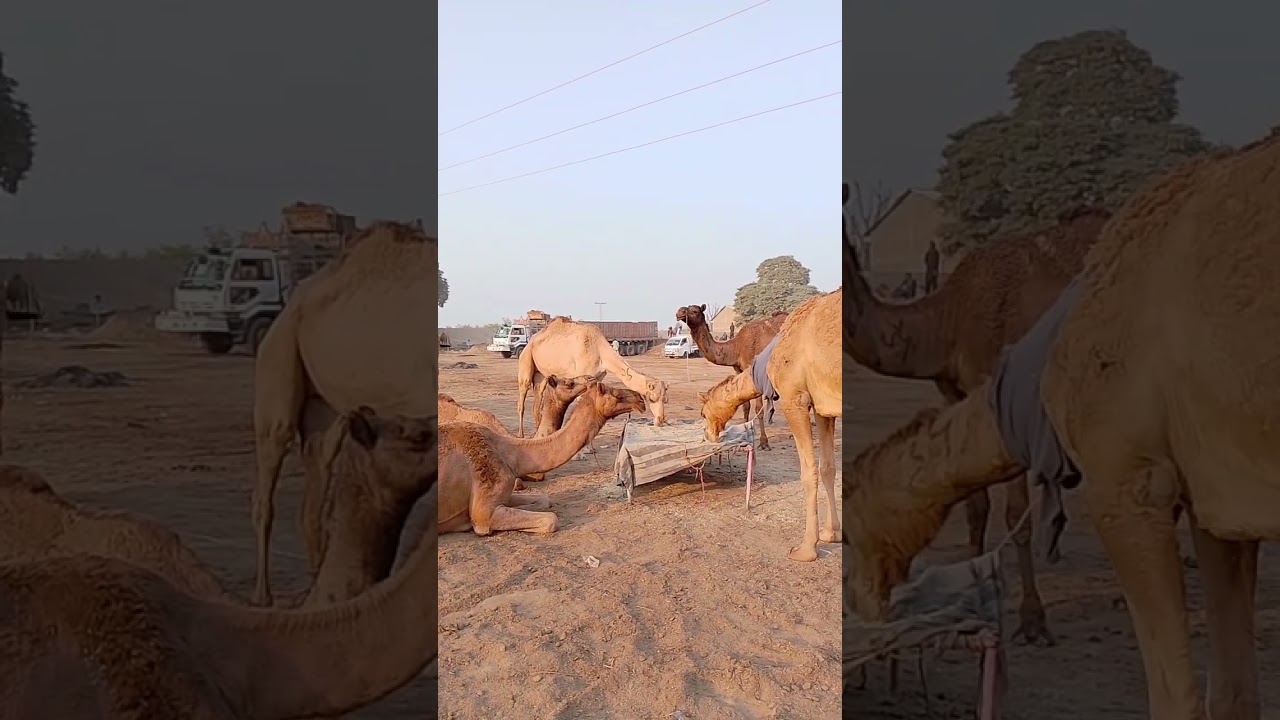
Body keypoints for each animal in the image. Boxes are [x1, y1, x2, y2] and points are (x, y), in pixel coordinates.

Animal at [250, 220, 437, 606]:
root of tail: (294, 302)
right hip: (278, 351)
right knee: (271, 462)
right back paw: (264, 597)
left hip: (321, 402)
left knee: (316, 476)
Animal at [441, 380, 646, 536]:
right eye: (616, 395)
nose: (640, 399)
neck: (510, 454)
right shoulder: (484, 512)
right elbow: (551, 519)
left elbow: (544, 500)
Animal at [515, 317, 667, 436]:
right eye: (652, 398)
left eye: (665, 400)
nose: (660, 419)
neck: (600, 351)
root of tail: (532, 340)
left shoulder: (598, 378)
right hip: (525, 360)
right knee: (522, 398)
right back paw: (521, 435)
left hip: (541, 376)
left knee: (537, 402)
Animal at [675, 304, 787, 449]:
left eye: (694, 311)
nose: (680, 312)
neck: (736, 348)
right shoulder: (739, 371)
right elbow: (745, 406)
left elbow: (758, 409)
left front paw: (764, 442)